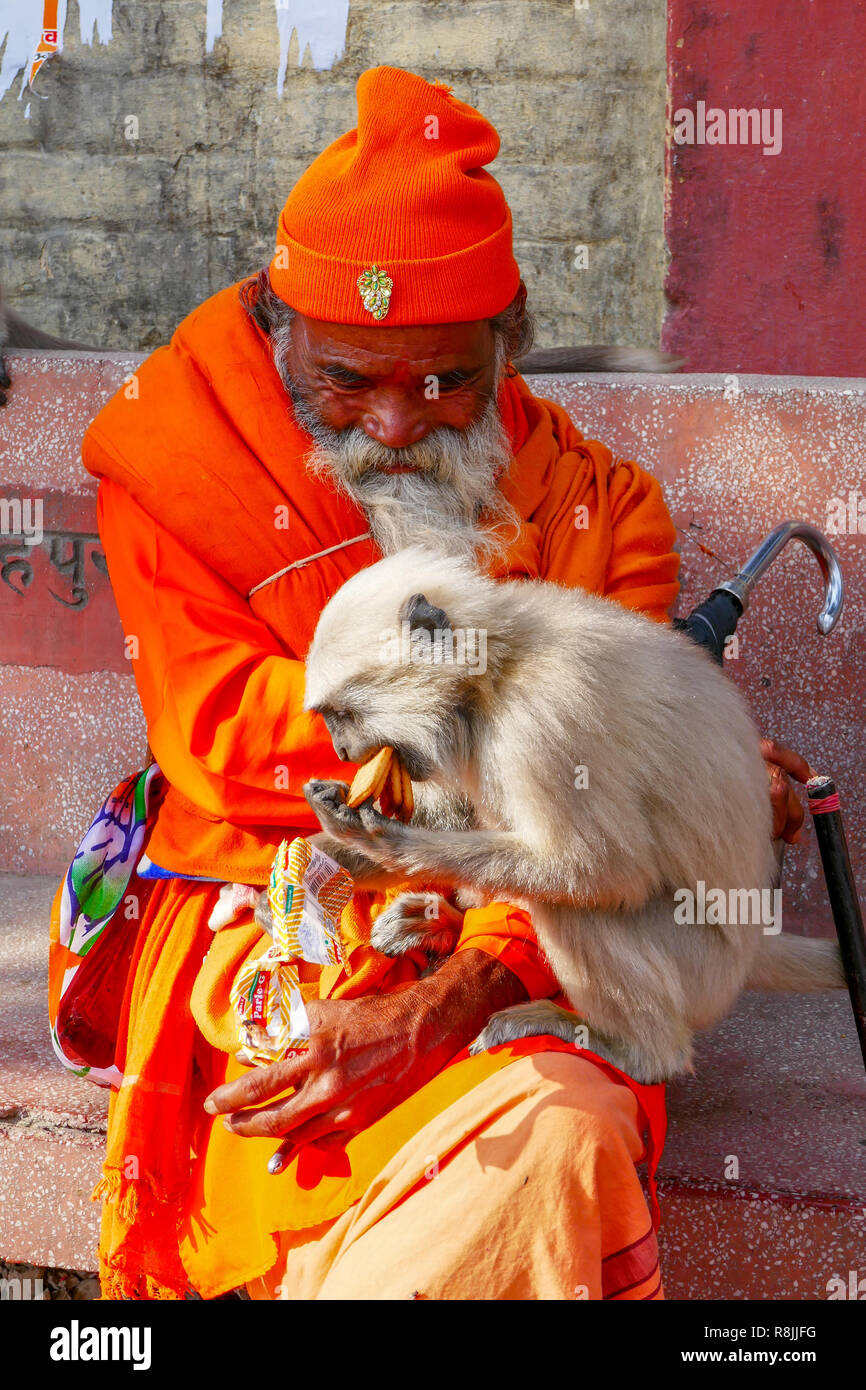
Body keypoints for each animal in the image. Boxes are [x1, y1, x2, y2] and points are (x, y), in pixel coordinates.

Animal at [300, 546, 844, 1085]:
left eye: (343, 716)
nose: (341, 750)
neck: (501, 667)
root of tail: (750, 946)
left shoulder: (544, 717)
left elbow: (606, 871)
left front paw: (383, 842)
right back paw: (449, 918)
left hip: (701, 972)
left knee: (579, 902)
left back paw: (640, 1052)